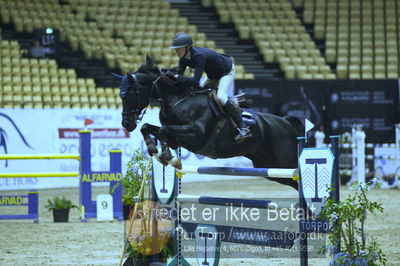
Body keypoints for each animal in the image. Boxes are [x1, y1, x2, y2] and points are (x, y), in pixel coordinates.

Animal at [114, 55, 304, 189]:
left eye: (129, 94)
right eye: (120, 96)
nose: (126, 124)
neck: (178, 98)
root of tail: (285, 121)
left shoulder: (196, 134)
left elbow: (162, 131)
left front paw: (168, 157)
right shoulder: (177, 137)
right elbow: (149, 128)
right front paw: (157, 152)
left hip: (285, 162)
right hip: (269, 167)